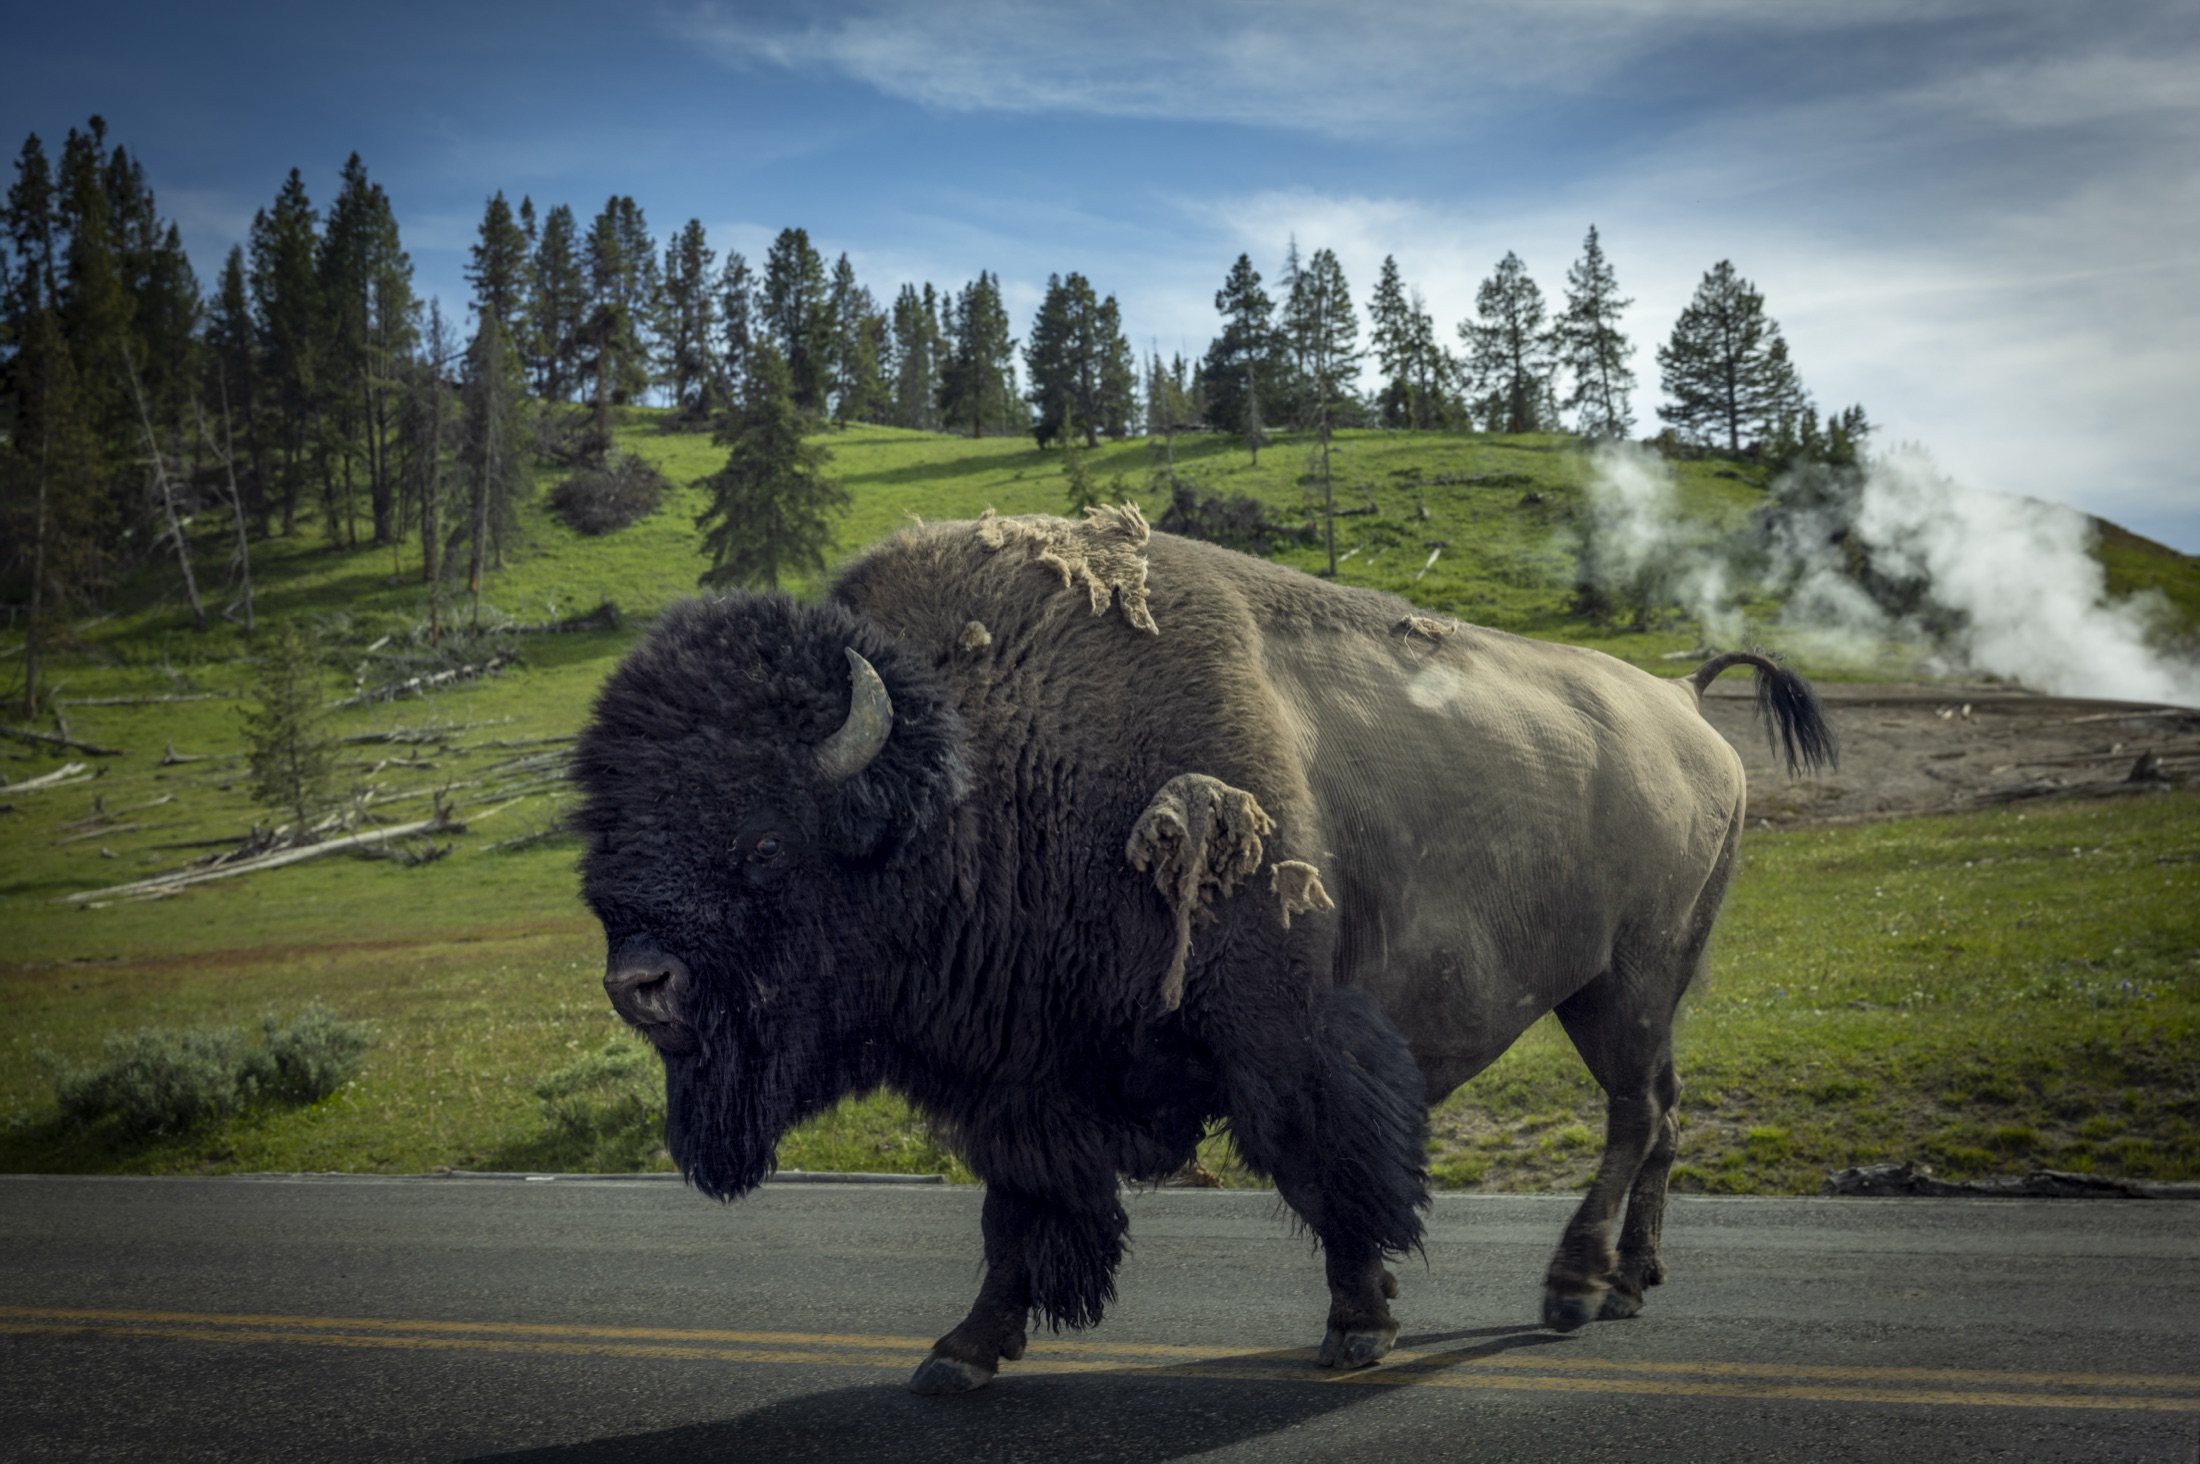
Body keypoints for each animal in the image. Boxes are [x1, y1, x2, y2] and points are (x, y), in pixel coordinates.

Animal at [571, 505, 1834, 1395]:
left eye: (764, 839)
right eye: (610, 825)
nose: (640, 985)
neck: (988, 765)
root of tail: (1682, 704)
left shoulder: (1281, 1031)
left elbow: (1326, 1168)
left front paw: (1358, 1325)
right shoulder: (1022, 1078)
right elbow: (1016, 1210)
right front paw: (963, 1350)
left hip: (1624, 982)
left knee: (1632, 1117)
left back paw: (1573, 1288)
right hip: (1636, 990)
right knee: (1662, 1116)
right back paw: (1630, 1285)